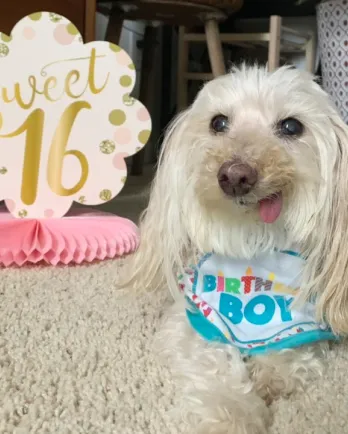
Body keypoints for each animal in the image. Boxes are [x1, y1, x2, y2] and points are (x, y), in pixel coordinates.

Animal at [124, 65, 348, 434]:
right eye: (218, 122)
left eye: (291, 126)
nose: (235, 175)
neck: (253, 237)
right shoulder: (191, 317)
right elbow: (212, 363)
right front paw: (233, 414)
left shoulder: (308, 322)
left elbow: (293, 346)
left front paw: (272, 370)